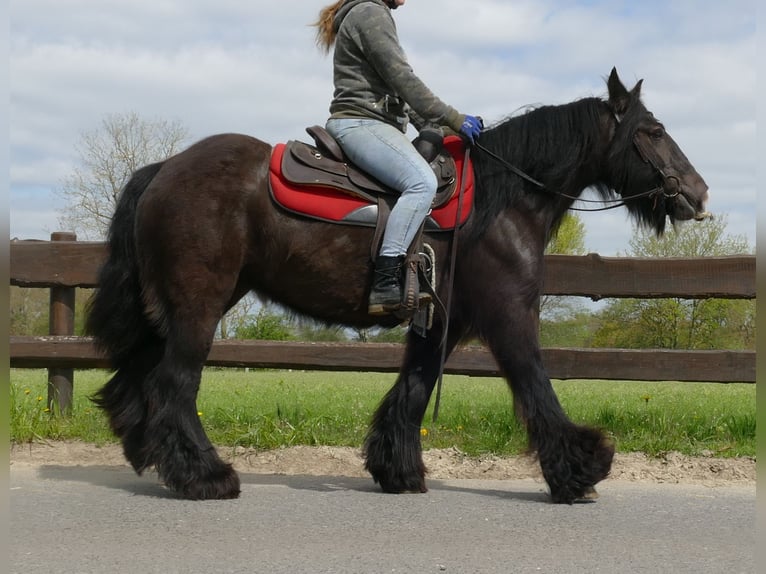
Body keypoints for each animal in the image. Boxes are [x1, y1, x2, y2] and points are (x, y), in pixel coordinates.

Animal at [88, 68, 708, 504]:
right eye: (652, 131)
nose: (698, 193)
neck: (503, 199)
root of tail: (164, 168)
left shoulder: (444, 322)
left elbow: (413, 387)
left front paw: (398, 470)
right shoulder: (509, 313)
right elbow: (536, 385)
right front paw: (580, 470)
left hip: (175, 308)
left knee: (139, 379)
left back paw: (151, 456)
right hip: (199, 306)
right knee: (174, 385)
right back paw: (204, 476)